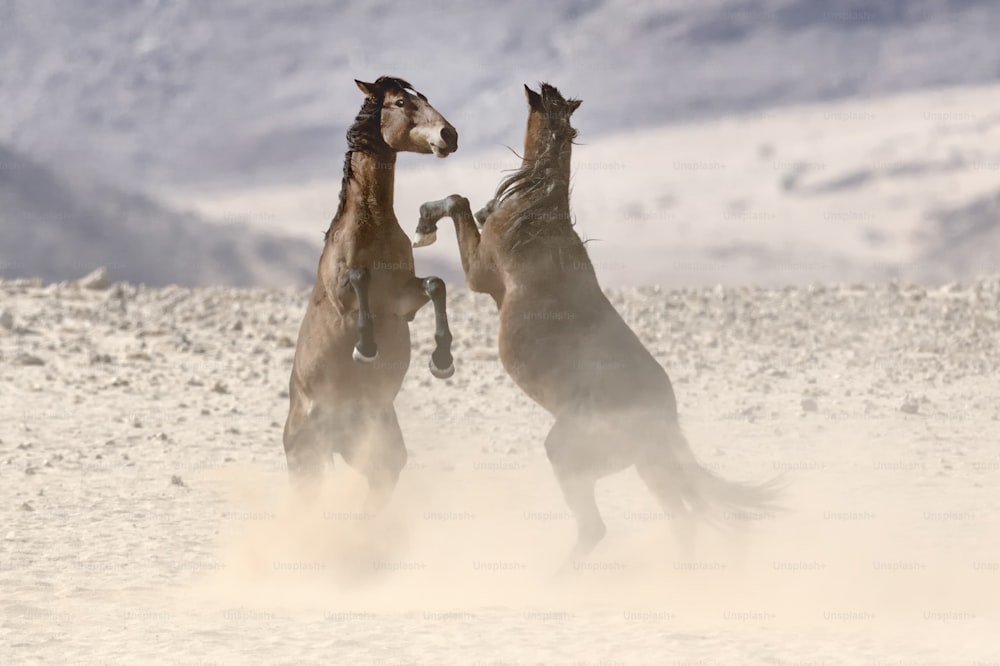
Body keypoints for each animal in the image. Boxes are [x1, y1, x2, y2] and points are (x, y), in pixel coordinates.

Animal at [284, 78, 458, 510]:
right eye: (399, 102)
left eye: (423, 98)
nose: (449, 135)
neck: (373, 228)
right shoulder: (345, 296)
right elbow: (360, 280)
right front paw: (366, 347)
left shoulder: (403, 304)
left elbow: (436, 284)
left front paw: (442, 361)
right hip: (306, 459)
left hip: (378, 449)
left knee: (380, 484)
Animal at [414, 83, 780, 564]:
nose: (448, 135)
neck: (537, 213)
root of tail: (664, 417)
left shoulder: (480, 273)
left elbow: (458, 202)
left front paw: (423, 223)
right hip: (650, 466)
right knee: (682, 517)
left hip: (572, 454)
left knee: (597, 527)